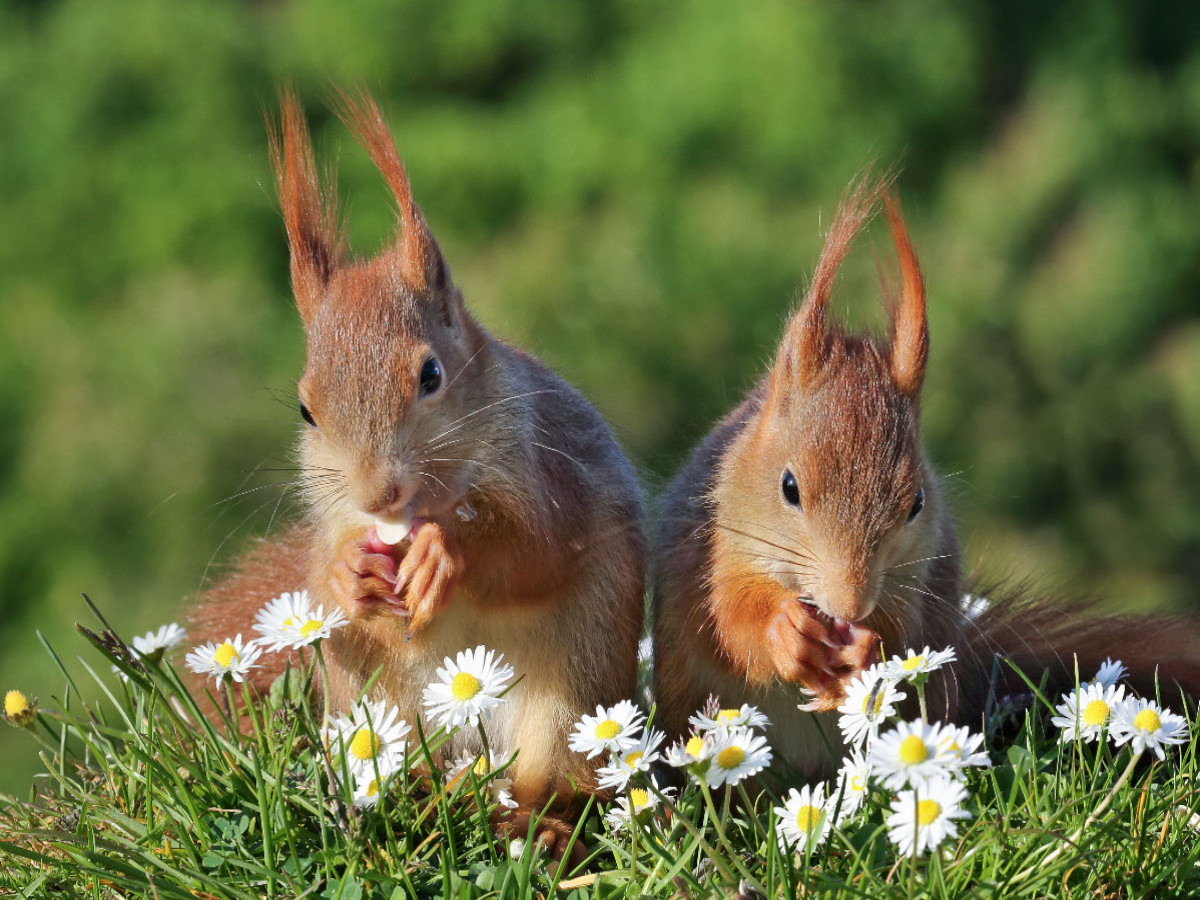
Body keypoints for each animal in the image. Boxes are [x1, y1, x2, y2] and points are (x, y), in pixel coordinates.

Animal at [184, 86, 648, 854]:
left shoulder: (552, 473)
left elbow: (537, 553)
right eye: (307, 408)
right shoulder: (334, 521)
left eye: (431, 374)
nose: (379, 493)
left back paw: (539, 822)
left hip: (573, 689)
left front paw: (443, 554)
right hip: (374, 702)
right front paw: (352, 573)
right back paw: (431, 795)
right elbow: (327, 585)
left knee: (559, 783)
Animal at [652, 174, 1200, 777]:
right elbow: (730, 622)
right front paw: (786, 634)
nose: (850, 606)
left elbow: (902, 638)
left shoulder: (914, 578)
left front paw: (863, 651)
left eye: (915, 502)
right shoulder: (713, 549)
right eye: (788, 487)